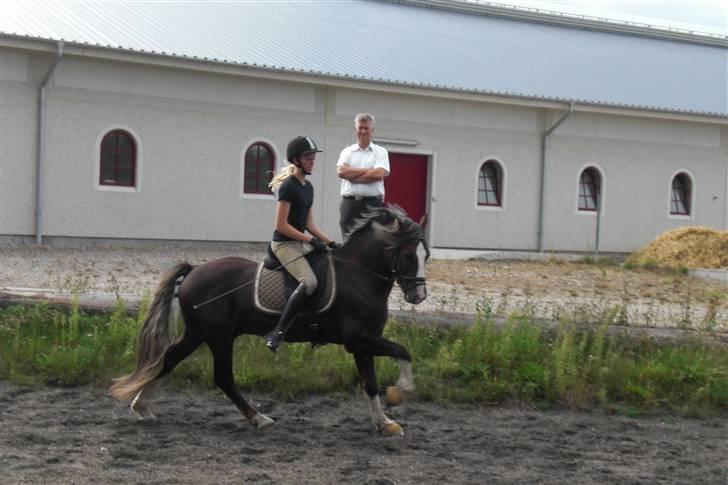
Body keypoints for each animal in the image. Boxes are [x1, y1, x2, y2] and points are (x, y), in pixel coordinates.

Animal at [111, 205, 430, 434]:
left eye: (426, 255)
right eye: (408, 256)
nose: (419, 295)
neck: (358, 274)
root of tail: (195, 271)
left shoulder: (363, 342)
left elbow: (370, 383)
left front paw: (384, 422)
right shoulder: (358, 339)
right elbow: (403, 352)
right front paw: (402, 390)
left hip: (198, 332)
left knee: (168, 359)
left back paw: (142, 408)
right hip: (218, 335)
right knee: (222, 376)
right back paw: (258, 418)